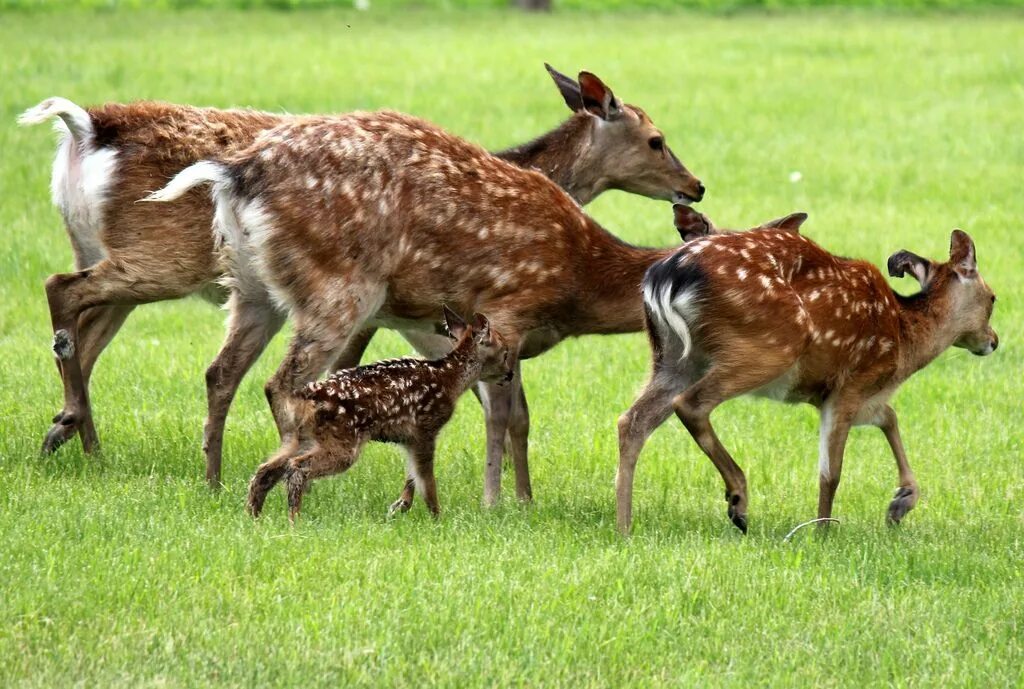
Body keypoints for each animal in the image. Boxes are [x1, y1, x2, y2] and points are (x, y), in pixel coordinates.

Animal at [18, 64, 704, 487]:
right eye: (655, 139)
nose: (695, 184)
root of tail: (84, 128)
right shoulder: (412, 315)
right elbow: (504, 404)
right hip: (169, 261)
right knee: (69, 298)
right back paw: (84, 435)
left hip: (181, 272)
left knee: (136, 347)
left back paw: (85, 442)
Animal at [247, 307, 512, 522]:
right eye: (505, 351)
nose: (510, 375)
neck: (450, 379)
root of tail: (305, 397)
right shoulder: (426, 426)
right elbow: (426, 479)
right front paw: (437, 517)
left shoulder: (409, 438)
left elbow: (412, 474)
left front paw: (399, 507)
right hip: (342, 441)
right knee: (296, 468)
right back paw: (294, 519)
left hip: (301, 437)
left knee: (266, 469)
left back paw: (254, 517)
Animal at [614, 228, 999, 536]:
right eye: (993, 298)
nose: (993, 341)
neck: (905, 340)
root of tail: (664, 277)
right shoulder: (852, 384)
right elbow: (832, 472)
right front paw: (822, 533)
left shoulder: (855, 396)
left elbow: (889, 417)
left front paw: (900, 503)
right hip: (769, 347)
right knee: (690, 404)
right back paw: (738, 499)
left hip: (674, 356)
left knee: (631, 421)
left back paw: (624, 526)